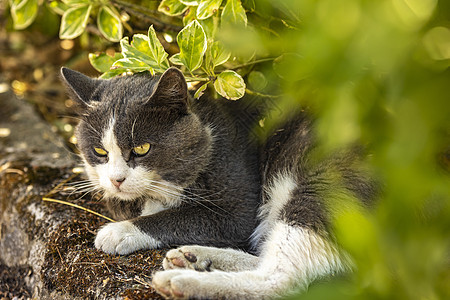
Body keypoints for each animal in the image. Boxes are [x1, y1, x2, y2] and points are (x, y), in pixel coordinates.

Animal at [60, 68, 376, 300]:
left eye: (142, 149)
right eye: (99, 151)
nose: (116, 180)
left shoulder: (239, 197)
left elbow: (182, 216)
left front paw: (121, 231)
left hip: (326, 185)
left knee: (282, 278)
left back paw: (182, 281)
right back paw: (194, 258)